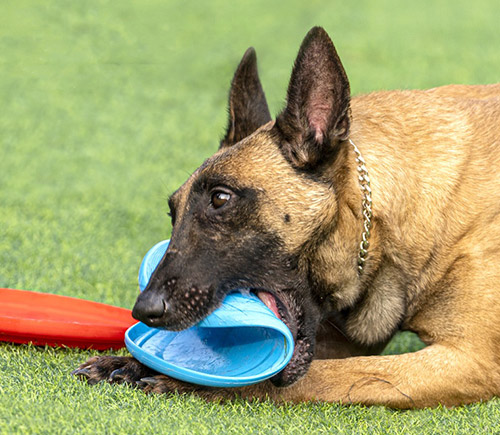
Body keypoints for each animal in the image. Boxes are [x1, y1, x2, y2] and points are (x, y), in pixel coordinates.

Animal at [73, 26, 500, 408]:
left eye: (220, 199)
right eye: (172, 211)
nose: (144, 310)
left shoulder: (466, 361)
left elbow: (322, 376)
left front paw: (182, 379)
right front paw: (131, 362)